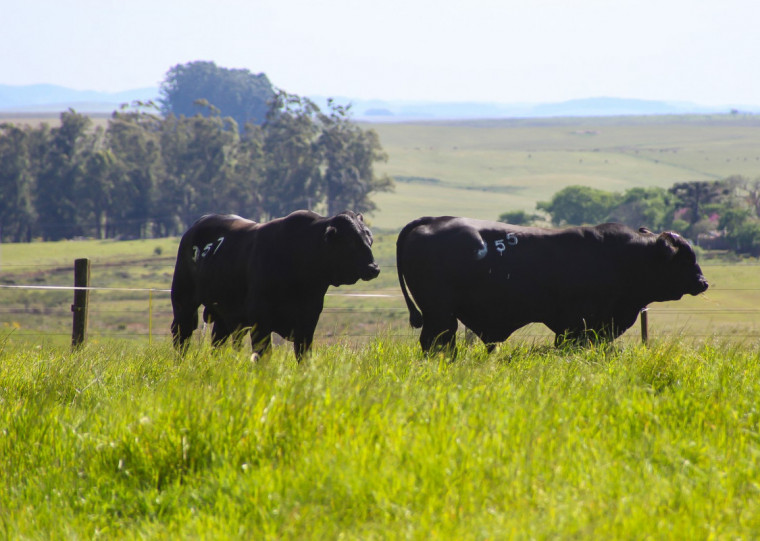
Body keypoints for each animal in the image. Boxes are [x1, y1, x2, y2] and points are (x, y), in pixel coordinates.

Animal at [169, 210, 378, 358]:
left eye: (369, 239)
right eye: (350, 242)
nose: (373, 268)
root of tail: (194, 227)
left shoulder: (307, 322)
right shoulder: (260, 321)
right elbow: (264, 355)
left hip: (224, 314)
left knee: (217, 342)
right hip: (183, 302)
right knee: (181, 336)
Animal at [394, 217, 708, 352]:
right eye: (684, 258)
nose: (702, 282)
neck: (627, 257)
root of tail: (434, 222)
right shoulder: (579, 328)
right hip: (440, 317)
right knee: (438, 345)